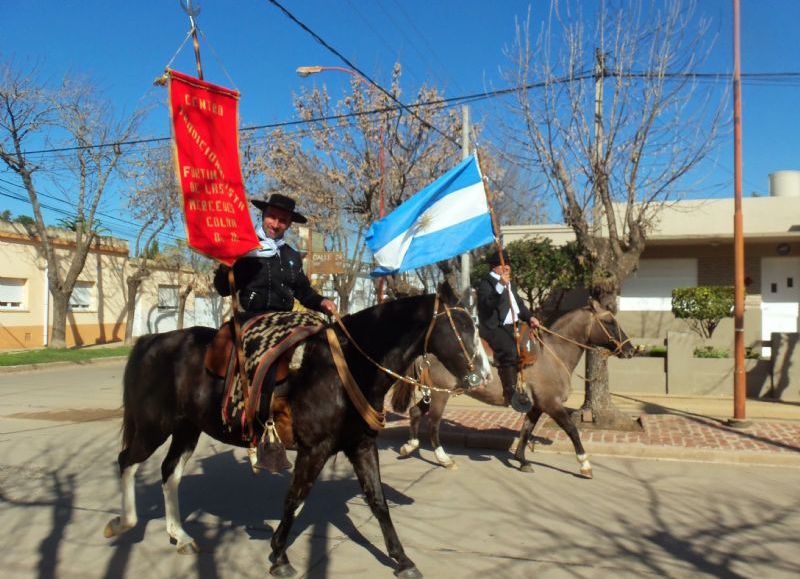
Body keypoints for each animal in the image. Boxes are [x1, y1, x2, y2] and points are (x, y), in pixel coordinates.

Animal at [103, 286, 490, 579]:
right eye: (462, 324)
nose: (484, 375)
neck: (345, 368)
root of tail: (153, 340)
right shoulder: (314, 449)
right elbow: (295, 500)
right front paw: (279, 556)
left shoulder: (361, 446)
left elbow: (378, 502)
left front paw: (402, 559)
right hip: (154, 425)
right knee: (126, 461)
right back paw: (123, 524)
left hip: (187, 429)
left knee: (169, 472)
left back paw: (179, 535)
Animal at [390, 302, 636, 478]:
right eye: (609, 321)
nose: (631, 350)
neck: (552, 355)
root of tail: (426, 348)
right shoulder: (551, 404)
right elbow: (571, 430)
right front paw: (585, 464)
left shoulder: (537, 406)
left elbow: (526, 430)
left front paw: (522, 460)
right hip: (441, 393)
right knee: (433, 423)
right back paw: (444, 459)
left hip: (433, 392)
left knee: (415, 412)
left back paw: (409, 446)